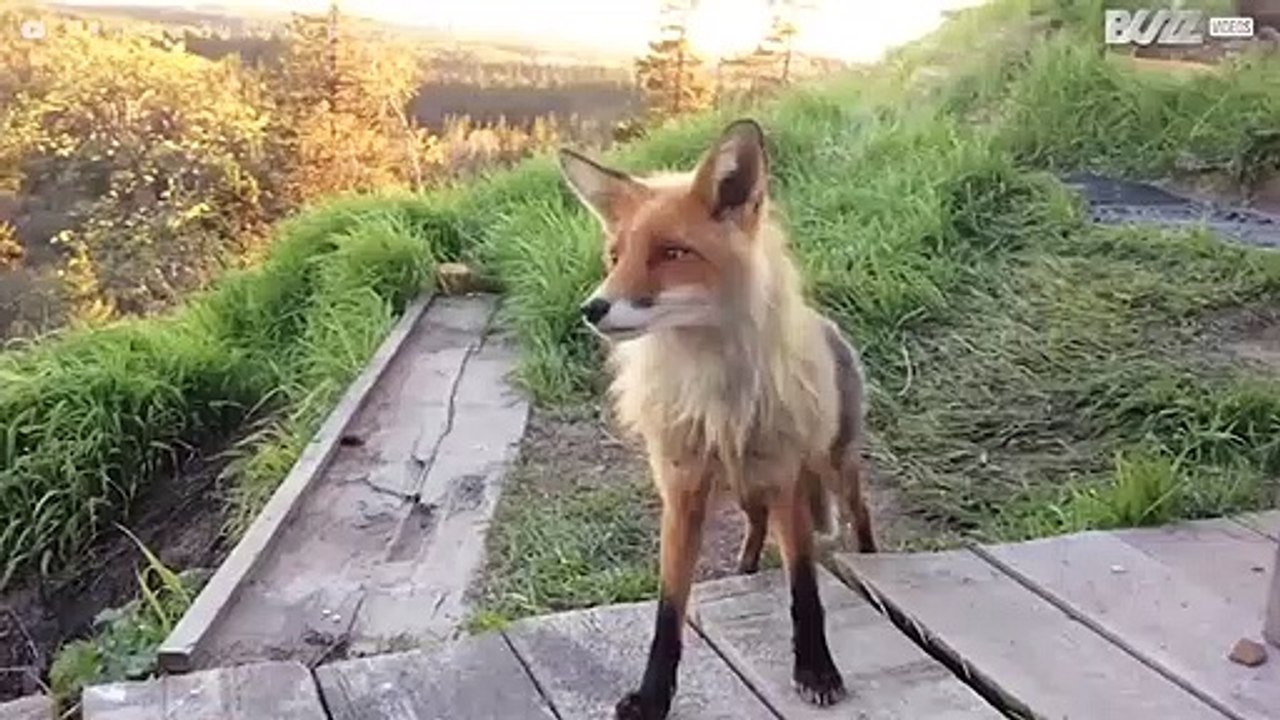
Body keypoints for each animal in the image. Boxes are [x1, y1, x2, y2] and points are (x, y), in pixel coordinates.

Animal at [557, 117, 877, 720]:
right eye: (615, 256)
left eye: (671, 252)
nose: (592, 308)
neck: (712, 394)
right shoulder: (682, 490)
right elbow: (667, 611)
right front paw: (652, 696)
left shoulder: (782, 476)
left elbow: (804, 588)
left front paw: (816, 668)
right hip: (741, 487)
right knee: (755, 528)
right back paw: (746, 569)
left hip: (832, 463)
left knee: (859, 512)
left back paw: (872, 562)